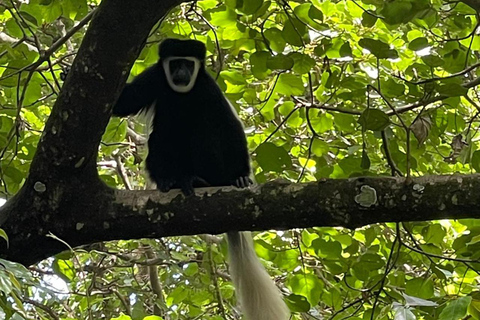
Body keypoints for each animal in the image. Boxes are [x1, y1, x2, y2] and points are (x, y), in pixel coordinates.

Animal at [113, 39, 288, 320]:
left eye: (188, 63)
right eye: (175, 63)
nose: (181, 73)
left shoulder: (208, 89)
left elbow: (229, 126)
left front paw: (242, 177)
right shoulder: (155, 78)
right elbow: (125, 102)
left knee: (205, 127)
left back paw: (204, 181)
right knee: (161, 134)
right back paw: (171, 181)